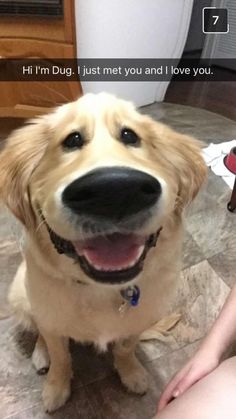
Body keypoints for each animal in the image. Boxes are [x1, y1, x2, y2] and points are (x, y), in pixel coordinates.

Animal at [0, 93, 206, 412]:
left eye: (130, 136)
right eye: (71, 139)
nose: (115, 190)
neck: (101, 290)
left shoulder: (137, 321)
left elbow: (125, 348)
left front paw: (132, 373)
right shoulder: (51, 317)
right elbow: (60, 355)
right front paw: (56, 387)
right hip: (19, 294)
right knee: (39, 331)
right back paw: (40, 354)